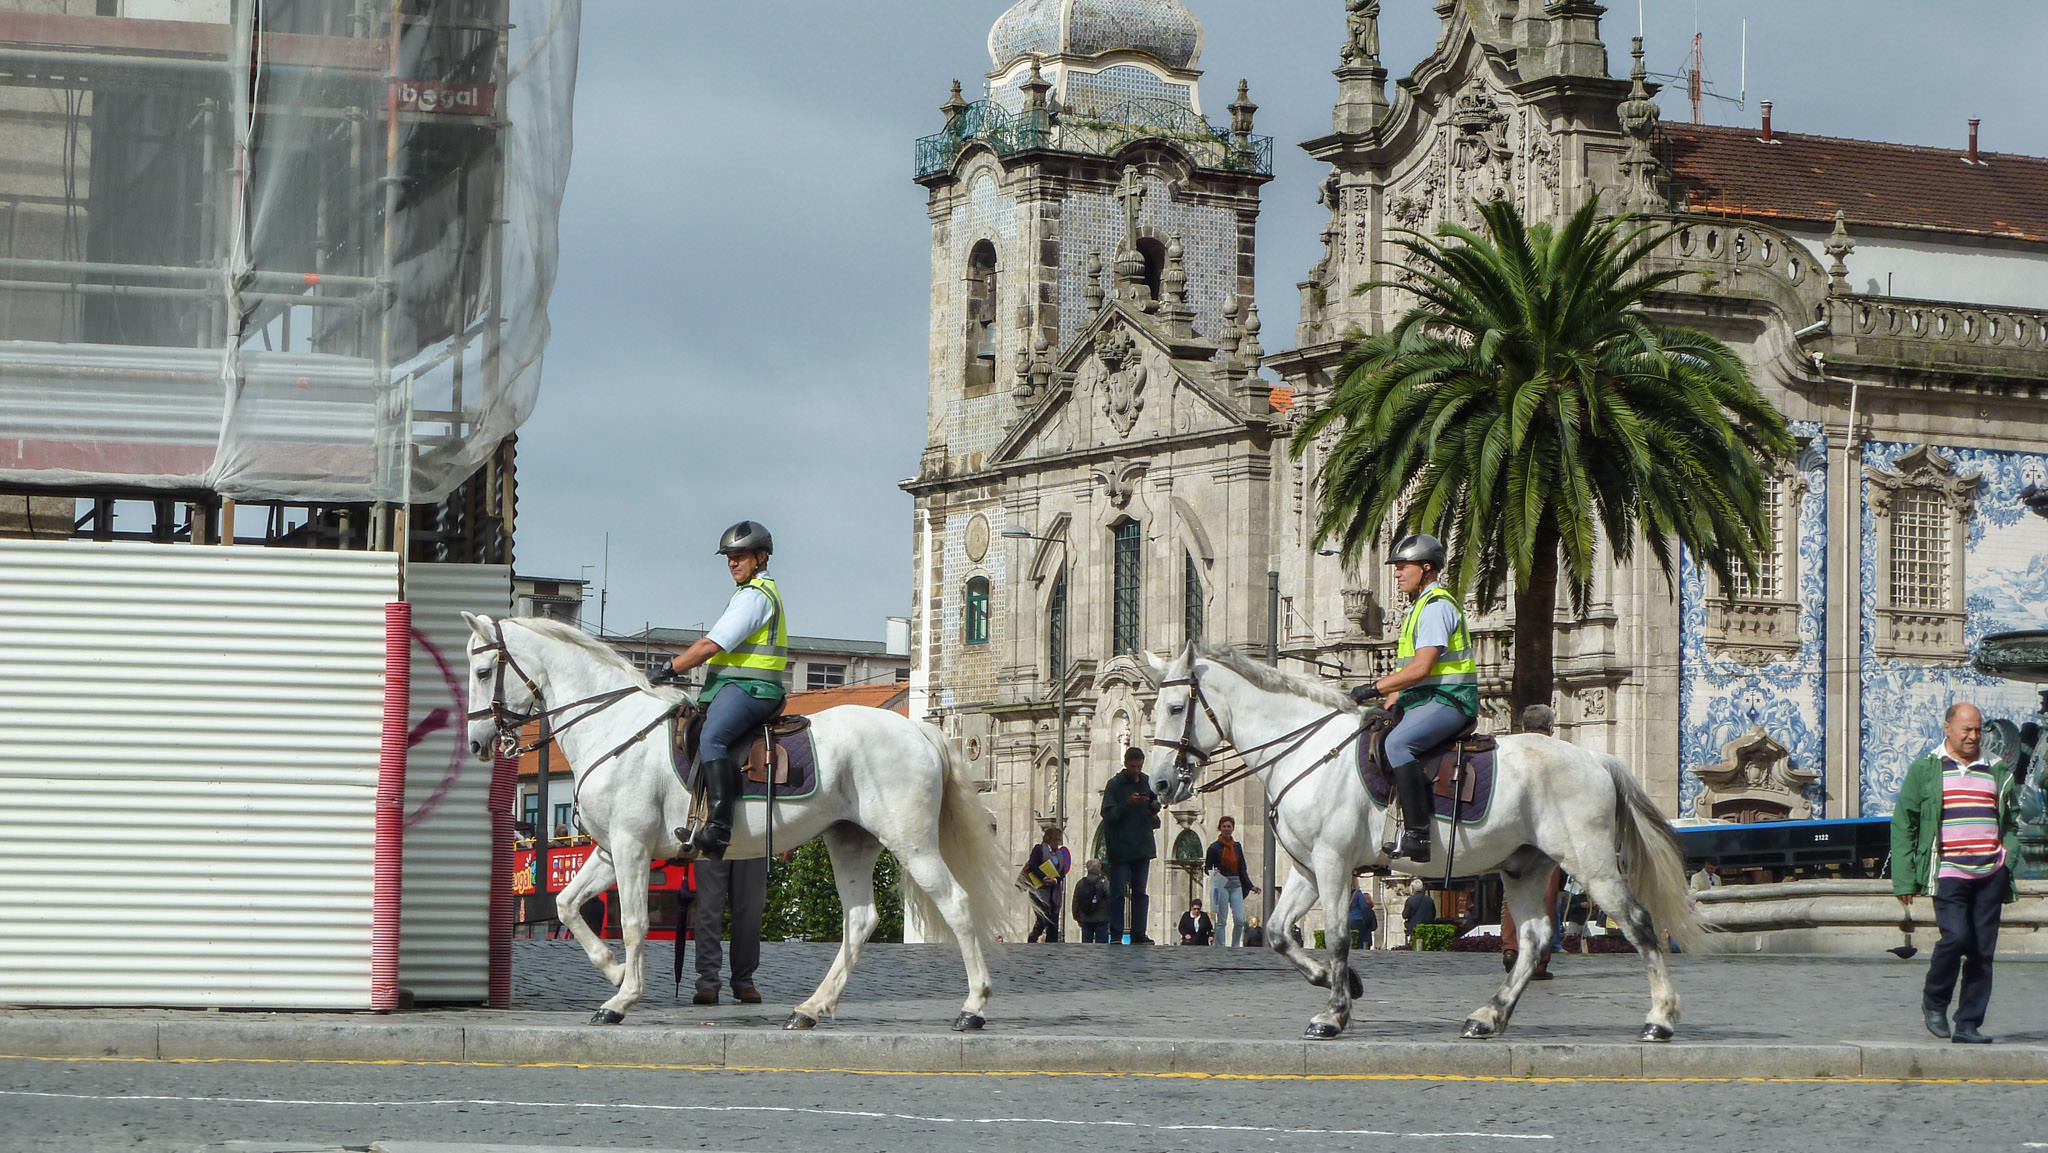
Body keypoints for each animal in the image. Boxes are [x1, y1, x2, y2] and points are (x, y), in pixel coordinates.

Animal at [460, 618, 1011, 1032]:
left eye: (484, 670)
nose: (478, 742)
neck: (613, 726)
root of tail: (919, 730)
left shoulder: (632, 847)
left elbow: (635, 923)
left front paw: (621, 999)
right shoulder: (610, 851)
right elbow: (567, 906)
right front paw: (614, 972)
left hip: (911, 842)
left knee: (956, 904)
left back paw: (974, 1008)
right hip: (850, 842)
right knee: (860, 920)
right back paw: (811, 1009)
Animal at [1146, 651, 1703, 1048]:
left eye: (1175, 708)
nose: (1158, 783)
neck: (1308, 751)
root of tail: (1596, 758)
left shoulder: (1333, 864)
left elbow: (1338, 938)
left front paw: (1334, 1014)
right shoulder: (1306, 869)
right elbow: (1282, 934)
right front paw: (1343, 984)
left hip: (1590, 863)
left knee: (1638, 923)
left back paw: (1660, 1020)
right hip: (1525, 868)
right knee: (1534, 939)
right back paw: (1488, 1017)